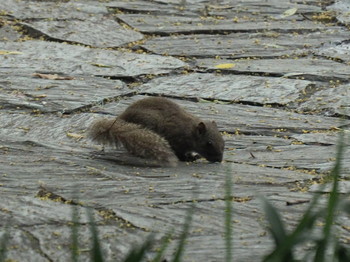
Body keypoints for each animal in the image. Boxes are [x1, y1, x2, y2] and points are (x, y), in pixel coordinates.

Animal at [87, 97, 224, 167]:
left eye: (223, 142)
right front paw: (189, 158)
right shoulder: (175, 139)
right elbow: (179, 152)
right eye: (209, 143)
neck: (190, 131)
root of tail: (122, 118)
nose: (219, 160)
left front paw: (193, 156)